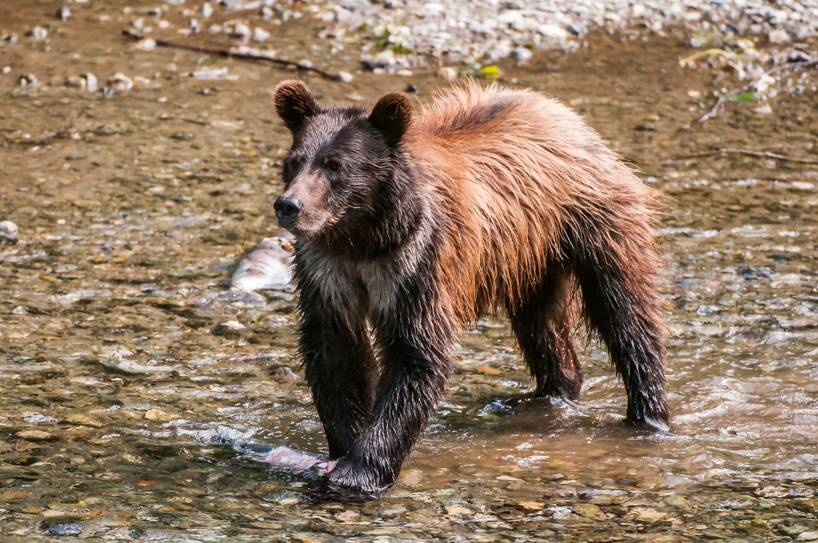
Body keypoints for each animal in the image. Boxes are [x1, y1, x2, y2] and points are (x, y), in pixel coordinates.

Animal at [271, 80, 669, 496]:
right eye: (295, 160)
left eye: (336, 165)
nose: (290, 205)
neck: (364, 237)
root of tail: (561, 112)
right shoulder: (328, 270)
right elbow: (333, 348)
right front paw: (342, 450)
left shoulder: (416, 262)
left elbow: (417, 353)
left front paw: (359, 472)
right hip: (532, 257)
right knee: (542, 326)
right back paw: (547, 394)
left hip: (594, 220)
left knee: (625, 313)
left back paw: (648, 415)